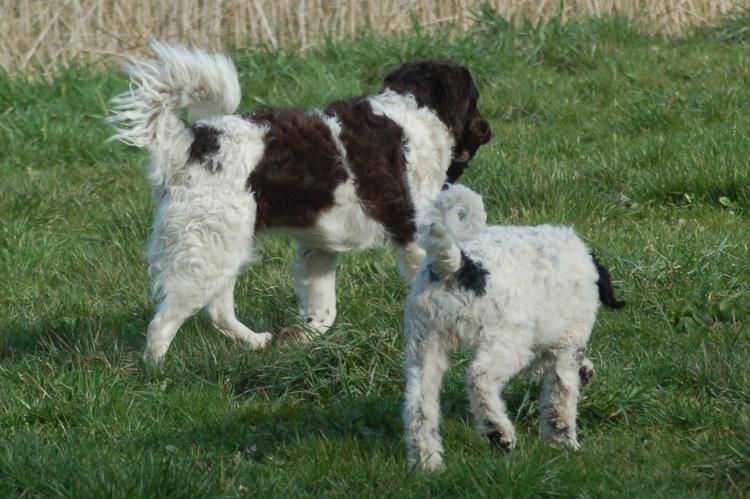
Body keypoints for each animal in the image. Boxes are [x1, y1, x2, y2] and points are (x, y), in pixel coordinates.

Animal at [107, 42, 494, 364]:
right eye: (475, 100)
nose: (489, 131)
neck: (416, 116)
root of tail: (188, 143)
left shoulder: (318, 247)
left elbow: (323, 311)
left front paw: (303, 339)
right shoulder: (416, 236)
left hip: (223, 248)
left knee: (217, 311)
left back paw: (257, 342)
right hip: (209, 250)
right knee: (164, 321)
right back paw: (158, 373)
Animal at [402, 185, 624, 472]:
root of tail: (459, 265)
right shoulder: (568, 342)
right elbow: (560, 396)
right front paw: (562, 440)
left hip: (426, 343)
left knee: (419, 405)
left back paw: (427, 461)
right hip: (506, 340)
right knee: (479, 377)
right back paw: (497, 432)